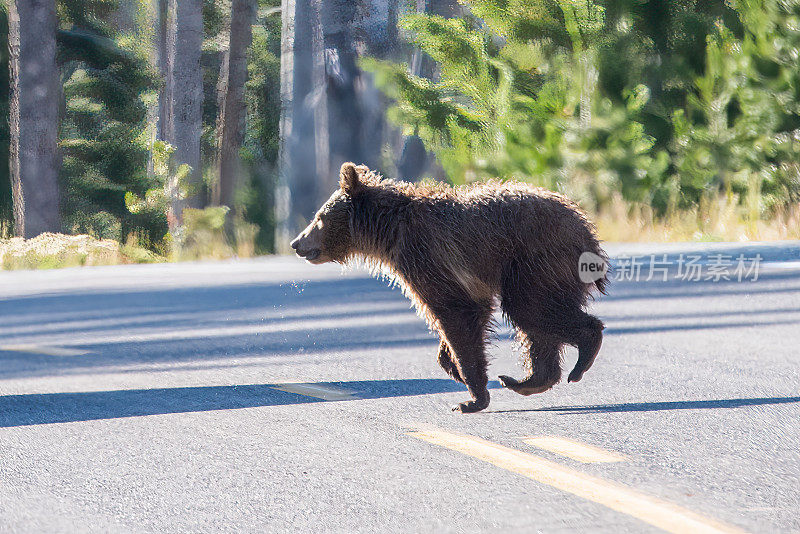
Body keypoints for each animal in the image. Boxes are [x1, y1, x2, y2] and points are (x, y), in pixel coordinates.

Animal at [290, 163, 608, 414]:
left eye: (319, 217)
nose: (297, 243)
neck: (389, 232)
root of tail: (587, 230)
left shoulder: (427, 258)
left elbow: (456, 315)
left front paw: (470, 398)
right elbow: (460, 322)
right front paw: (453, 367)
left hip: (535, 262)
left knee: (532, 311)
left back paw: (580, 357)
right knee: (536, 324)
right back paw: (525, 380)